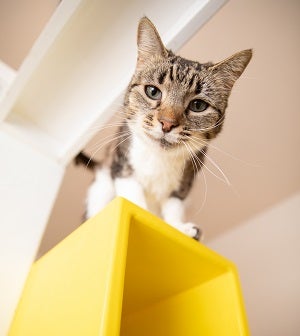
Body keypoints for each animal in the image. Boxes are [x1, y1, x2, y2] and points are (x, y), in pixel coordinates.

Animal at [75, 17, 251, 240]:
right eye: (153, 91)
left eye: (198, 105)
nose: (167, 123)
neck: (159, 159)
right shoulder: (122, 162)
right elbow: (133, 196)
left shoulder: (185, 180)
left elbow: (173, 206)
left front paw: (180, 227)